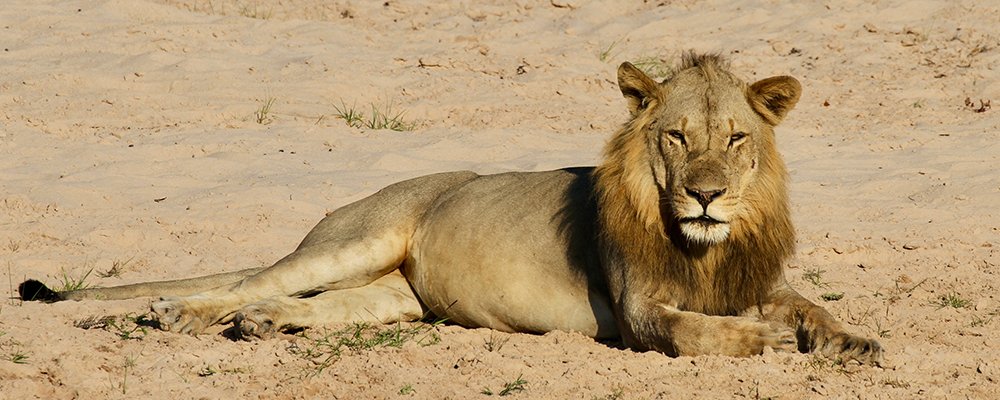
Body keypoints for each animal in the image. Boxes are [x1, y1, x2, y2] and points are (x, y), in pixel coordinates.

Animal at [20, 52, 882, 363]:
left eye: (735, 139)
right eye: (675, 137)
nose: (705, 193)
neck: (709, 244)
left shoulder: (754, 274)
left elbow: (811, 303)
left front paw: (852, 340)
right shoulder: (638, 312)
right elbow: (696, 330)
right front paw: (763, 337)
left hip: (396, 295)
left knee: (310, 305)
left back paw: (256, 327)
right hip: (358, 238)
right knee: (247, 282)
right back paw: (175, 313)